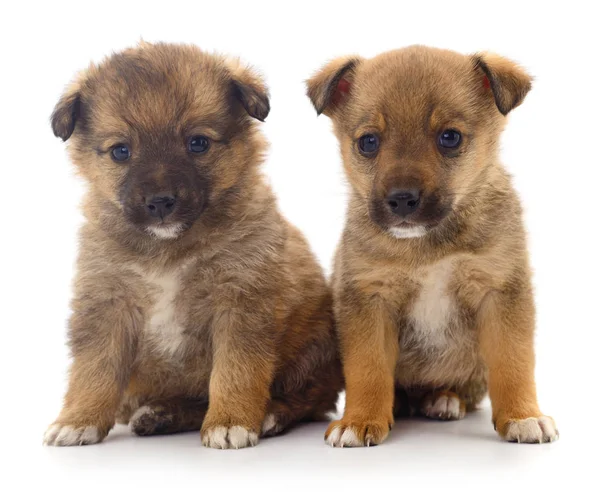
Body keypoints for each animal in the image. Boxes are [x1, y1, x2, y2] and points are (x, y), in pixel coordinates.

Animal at [42, 43, 342, 450]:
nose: (160, 202)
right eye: (121, 151)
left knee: (306, 398)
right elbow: (94, 368)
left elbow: (235, 372)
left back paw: (270, 416)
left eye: (197, 143)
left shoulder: (240, 304)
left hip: (315, 351)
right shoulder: (106, 302)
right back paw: (160, 414)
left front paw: (231, 421)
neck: (169, 250)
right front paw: (78, 419)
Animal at [308, 46, 560, 446]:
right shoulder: (368, 298)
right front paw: (360, 419)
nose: (402, 200)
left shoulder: (501, 290)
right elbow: (368, 369)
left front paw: (523, 416)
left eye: (450, 137)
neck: (426, 248)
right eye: (368, 142)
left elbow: (513, 362)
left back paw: (444, 399)